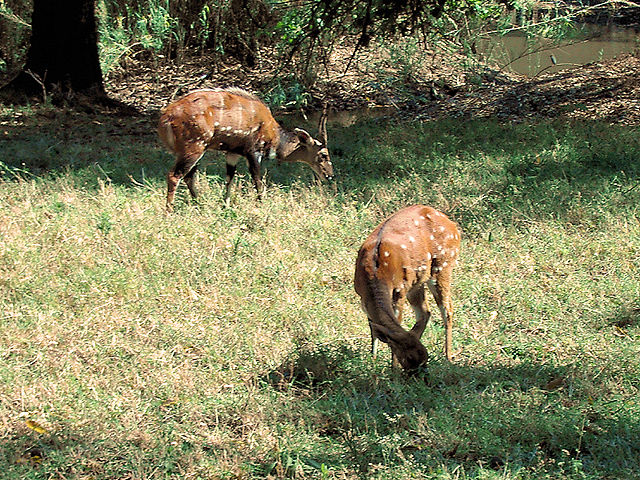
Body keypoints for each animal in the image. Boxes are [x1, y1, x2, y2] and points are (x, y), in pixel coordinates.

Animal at [356, 204, 460, 370]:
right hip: (418, 281)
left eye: (425, 356)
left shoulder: (400, 290)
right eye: (410, 357)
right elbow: (373, 329)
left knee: (447, 309)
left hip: (443, 266)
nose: (420, 372)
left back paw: (448, 358)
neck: (375, 273)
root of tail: (454, 227)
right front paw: (373, 359)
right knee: (426, 312)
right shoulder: (362, 296)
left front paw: (393, 368)